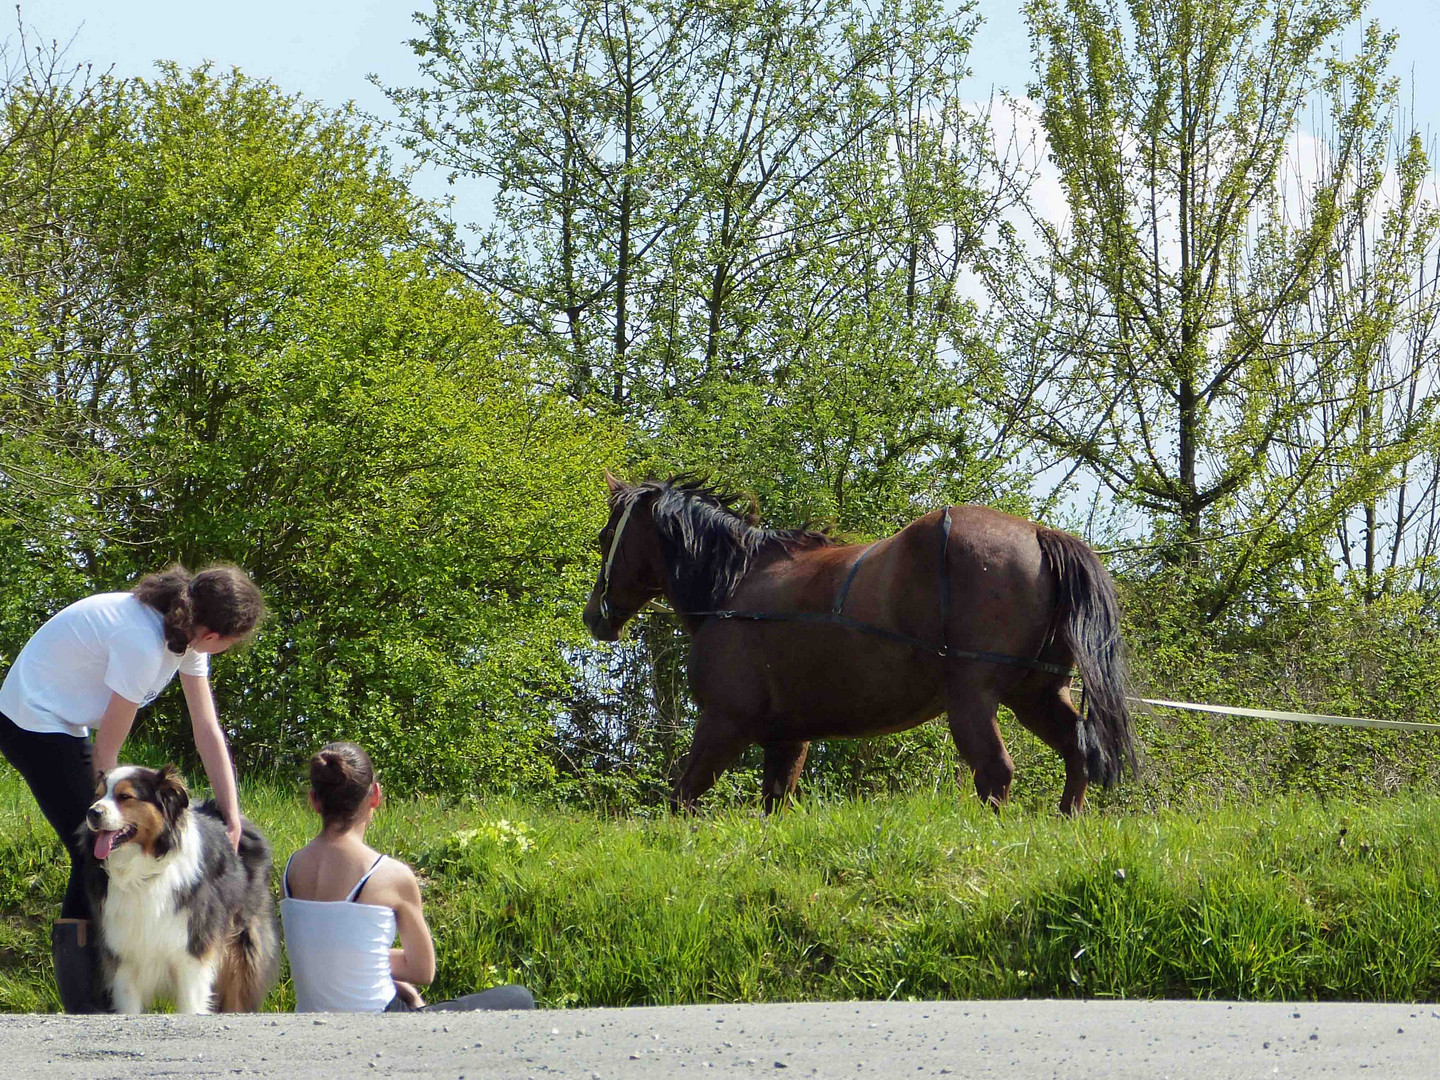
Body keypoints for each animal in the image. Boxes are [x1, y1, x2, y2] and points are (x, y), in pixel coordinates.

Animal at [81, 766, 277, 1013]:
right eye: (98, 796)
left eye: (125, 796)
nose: (92, 813)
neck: (141, 871)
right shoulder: (124, 956)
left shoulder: (191, 953)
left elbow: (191, 1005)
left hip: (241, 948)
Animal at [576, 478, 1134, 817]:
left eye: (605, 538)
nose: (593, 615)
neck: (733, 587)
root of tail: (1039, 534)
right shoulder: (788, 739)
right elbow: (773, 805)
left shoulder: (722, 723)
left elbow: (682, 798)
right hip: (1036, 694)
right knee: (1078, 750)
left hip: (973, 700)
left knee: (996, 771)